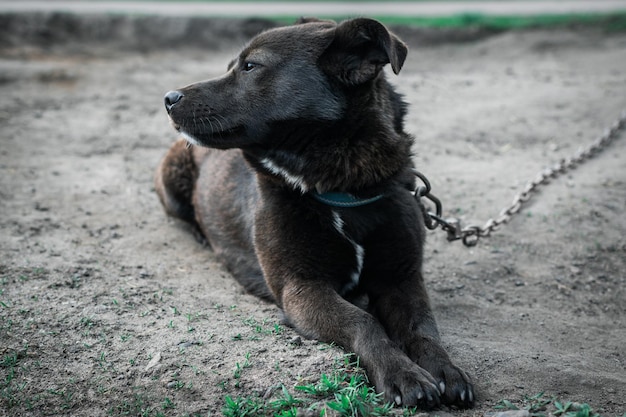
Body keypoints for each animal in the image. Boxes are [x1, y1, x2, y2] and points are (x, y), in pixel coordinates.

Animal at [155, 17, 472, 408]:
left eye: (250, 66)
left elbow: (422, 328)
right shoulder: (302, 288)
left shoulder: (402, 278)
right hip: (171, 178)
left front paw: (445, 371)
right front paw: (402, 374)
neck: (341, 193)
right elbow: (362, 322)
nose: (168, 98)